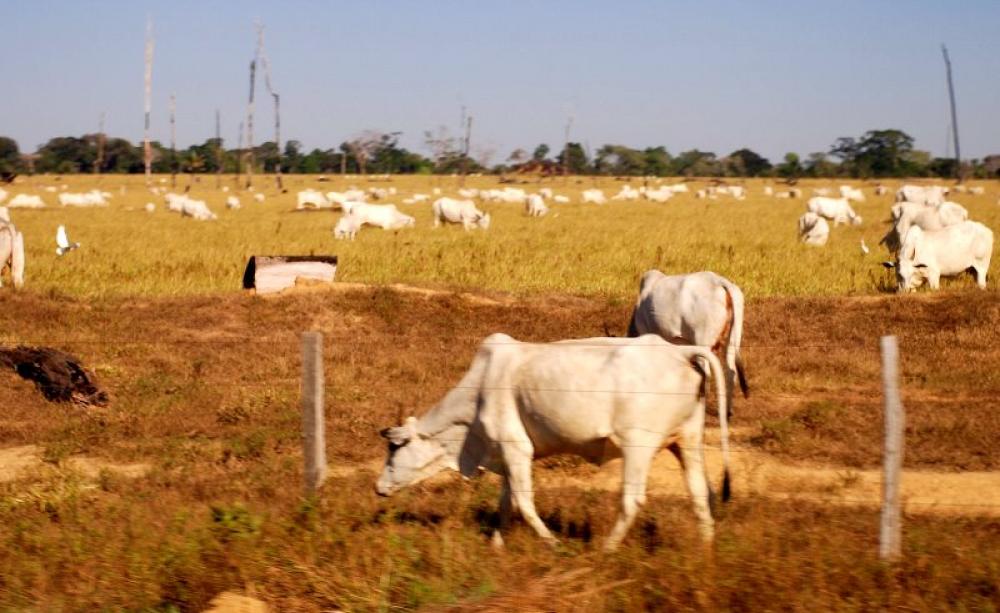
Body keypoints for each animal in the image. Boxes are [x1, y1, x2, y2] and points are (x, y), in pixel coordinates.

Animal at [375, 333, 732, 551]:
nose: (379, 487)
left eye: (394, 447)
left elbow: (524, 504)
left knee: (632, 501)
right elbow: (506, 503)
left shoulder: (516, 448)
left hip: (637, 447)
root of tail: (680, 351)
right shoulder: (506, 455)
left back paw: (606, 550)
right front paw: (496, 544)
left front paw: (553, 544)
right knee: (701, 495)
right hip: (688, 440)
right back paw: (706, 550)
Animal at [626, 270, 748, 419]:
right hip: (731, 342)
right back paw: (728, 411)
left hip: (702, 343)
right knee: (731, 372)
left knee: (707, 374)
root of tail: (720, 282)